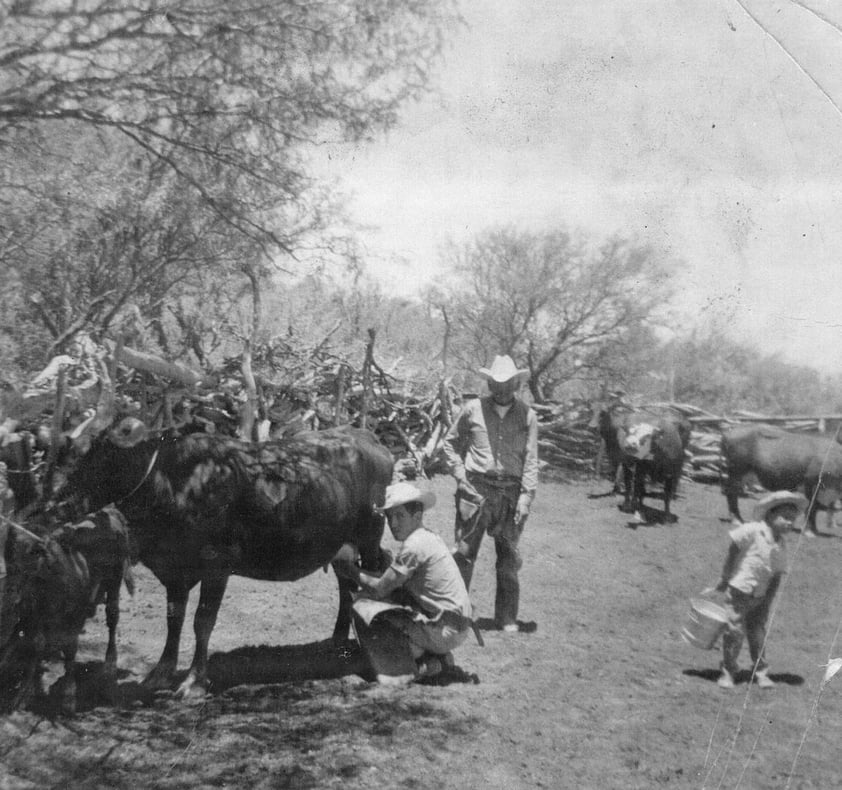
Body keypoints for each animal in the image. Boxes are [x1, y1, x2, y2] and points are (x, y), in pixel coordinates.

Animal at [0, 508, 133, 716]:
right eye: (9, 552)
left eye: (33, 552)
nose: (11, 590)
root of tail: (109, 512)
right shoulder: (32, 617)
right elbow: (35, 643)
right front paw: (25, 692)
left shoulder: (75, 617)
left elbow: (70, 648)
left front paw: (68, 697)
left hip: (114, 582)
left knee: (112, 618)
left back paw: (110, 665)